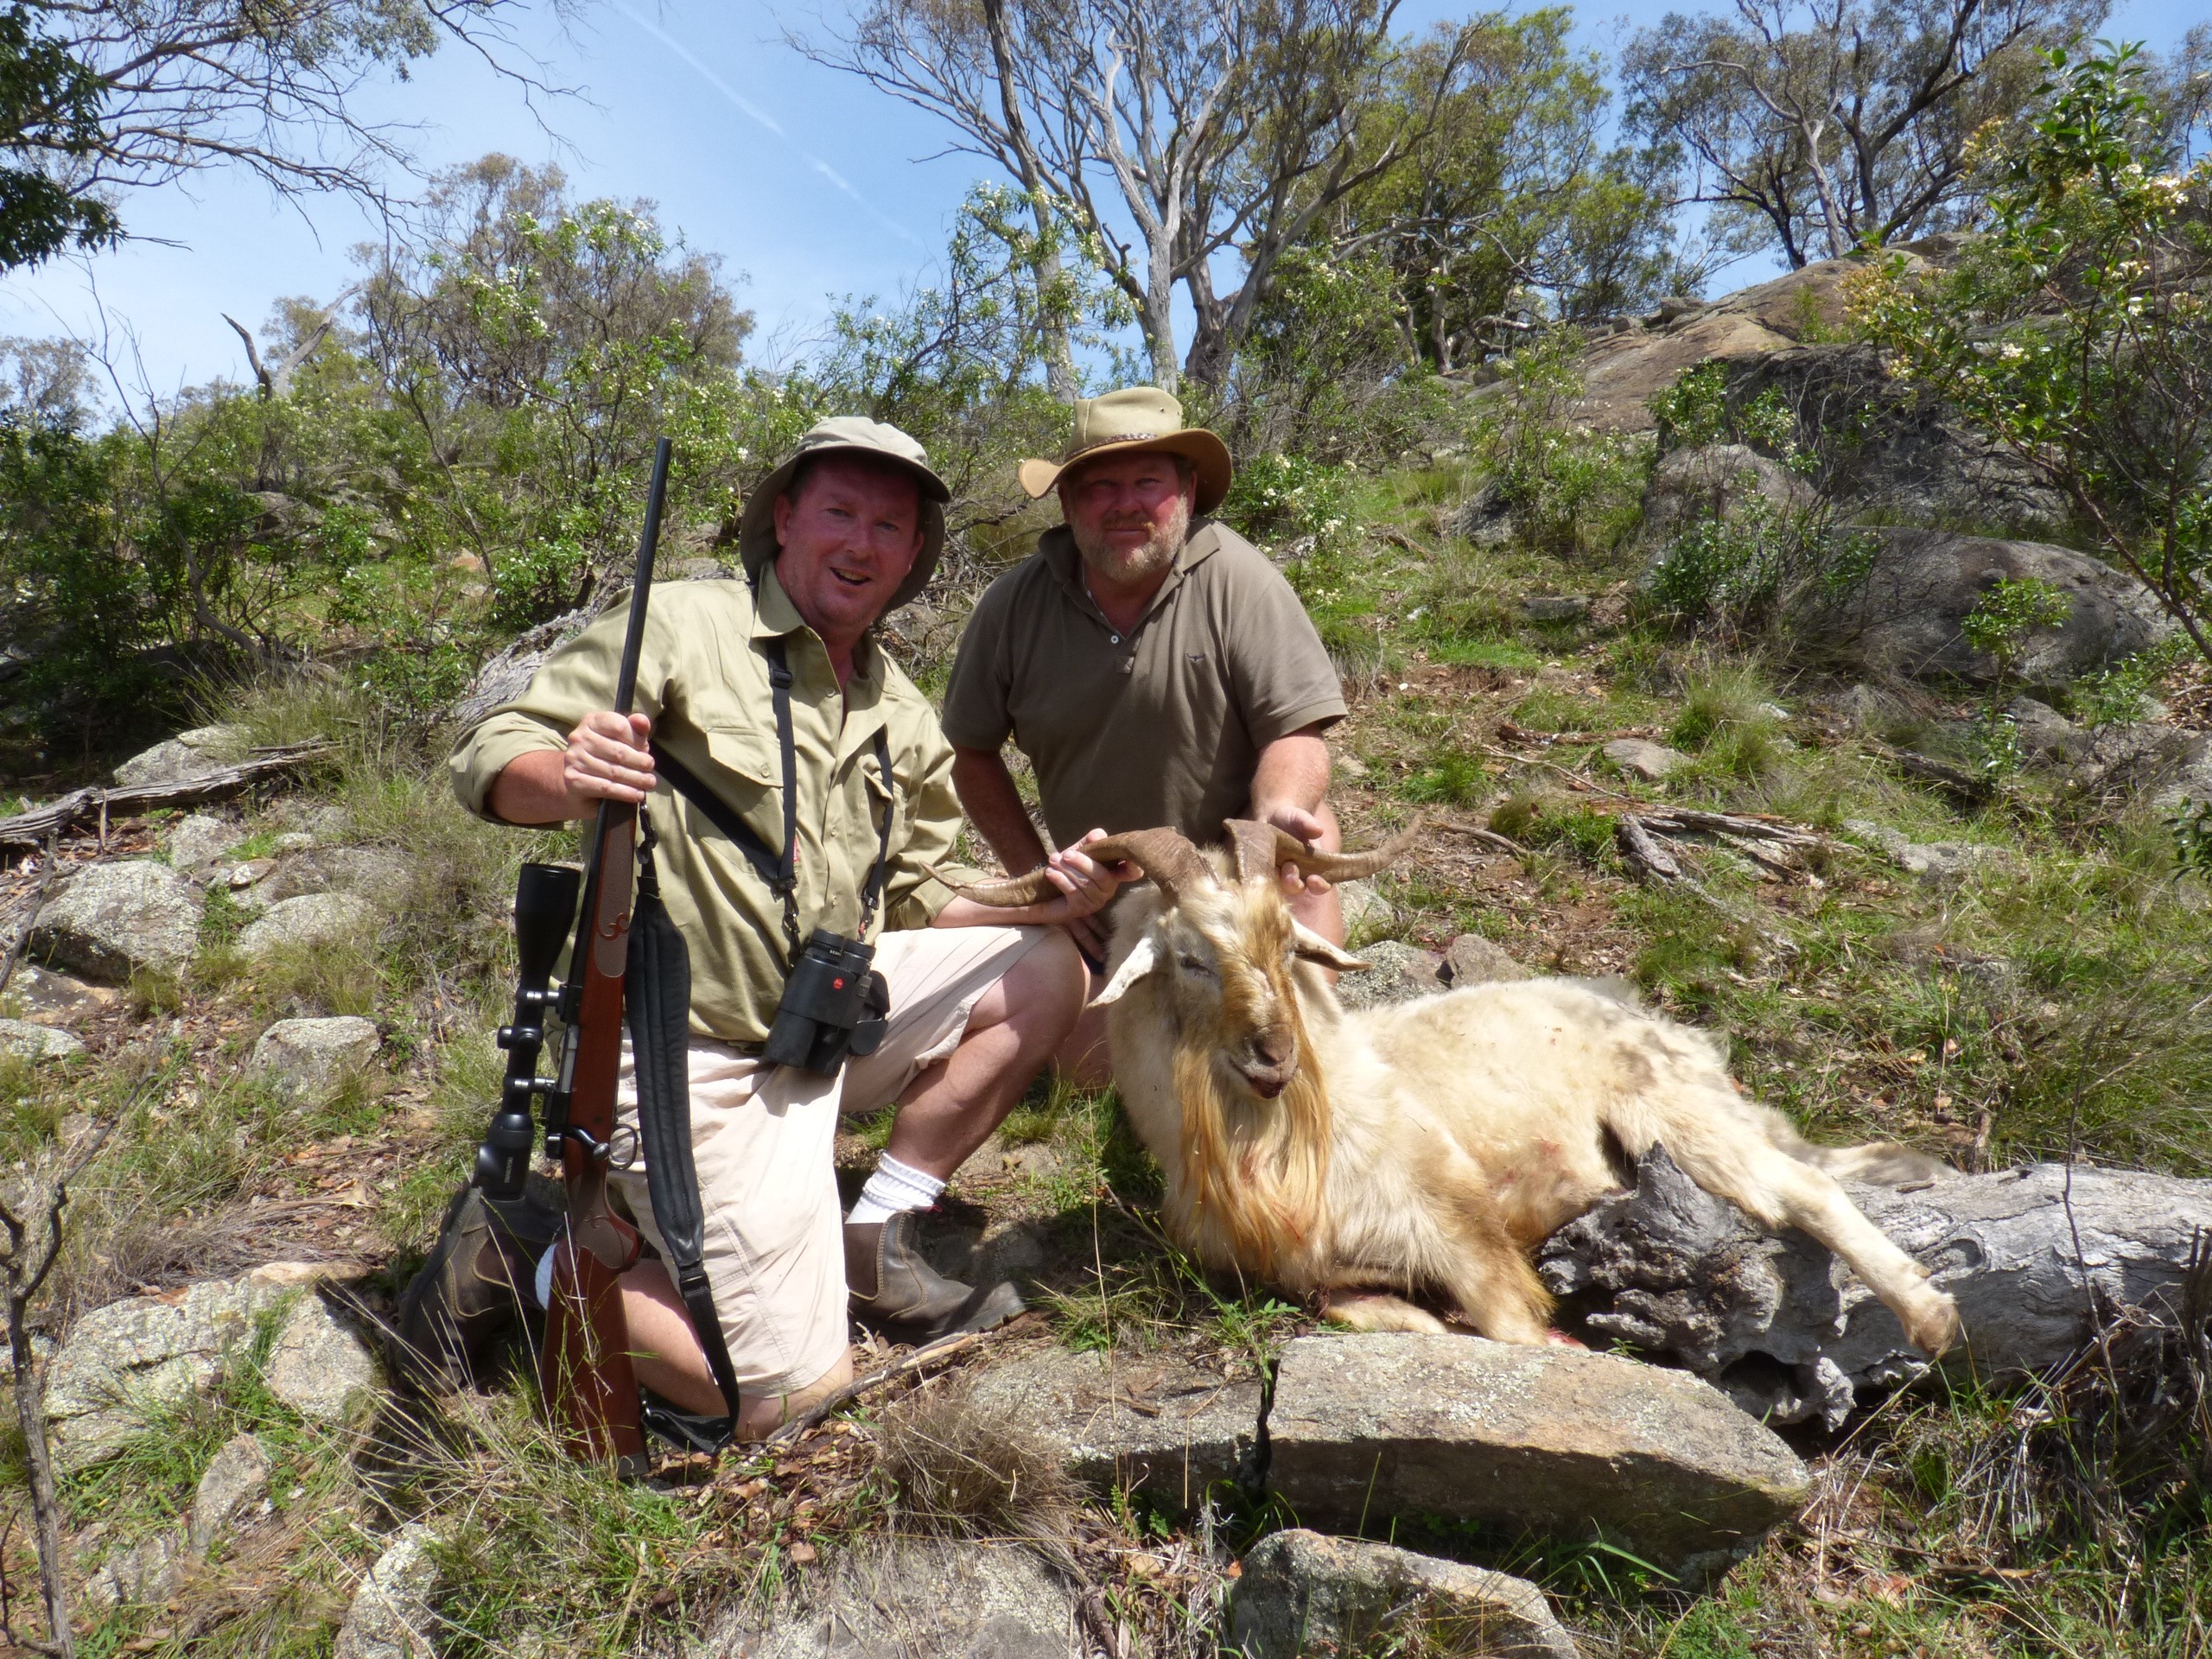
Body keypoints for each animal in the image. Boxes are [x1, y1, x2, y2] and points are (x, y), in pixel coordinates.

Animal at [942, 831, 1964, 1362]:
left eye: (1286, 943)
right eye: (1189, 955)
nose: (1275, 1056)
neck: (1263, 1153)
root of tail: (1665, 1029)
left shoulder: (1458, 1220)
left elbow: (1508, 1323)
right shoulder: (1311, 1276)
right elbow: (1366, 1312)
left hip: (1679, 1121)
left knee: (1804, 1191)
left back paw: (1932, 1318)